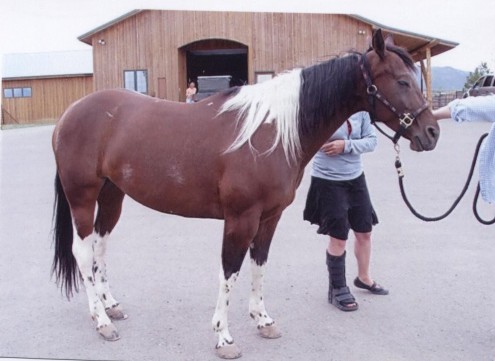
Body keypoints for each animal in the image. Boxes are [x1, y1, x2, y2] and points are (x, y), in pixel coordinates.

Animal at [50, 29, 438, 358]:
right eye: (402, 81)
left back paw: (110, 306)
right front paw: (223, 337)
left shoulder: (269, 217)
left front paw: (263, 320)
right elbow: (230, 270)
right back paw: (101, 321)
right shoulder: (240, 218)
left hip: (111, 196)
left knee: (100, 247)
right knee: (83, 252)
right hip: (82, 196)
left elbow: (258, 264)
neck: (271, 132)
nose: (431, 132)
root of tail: (69, 114)